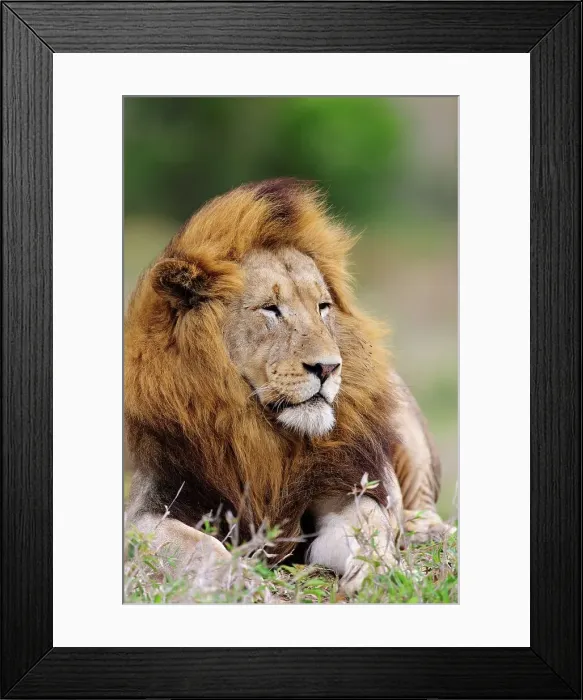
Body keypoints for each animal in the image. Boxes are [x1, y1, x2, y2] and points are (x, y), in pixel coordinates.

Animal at [125, 178, 453, 595]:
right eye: (271, 308)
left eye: (323, 307)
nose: (328, 367)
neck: (258, 431)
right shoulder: (145, 511)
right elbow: (202, 547)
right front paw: (246, 583)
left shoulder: (339, 491)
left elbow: (370, 531)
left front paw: (383, 572)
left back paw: (422, 528)